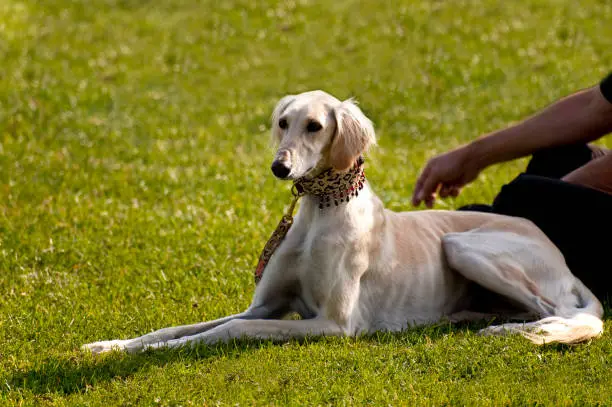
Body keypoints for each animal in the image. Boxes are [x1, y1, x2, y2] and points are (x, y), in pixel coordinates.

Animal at [83, 90, 604, 354]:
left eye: (315, 126)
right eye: (283, 122)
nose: (280, 168)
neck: (321, 210)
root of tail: (559, 255)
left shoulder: (333, 324)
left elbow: (224, 332)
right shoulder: (265, 306)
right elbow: (176, 329)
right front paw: (113, 346)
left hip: (463, 245)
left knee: (569, 315)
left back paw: (510, 332)